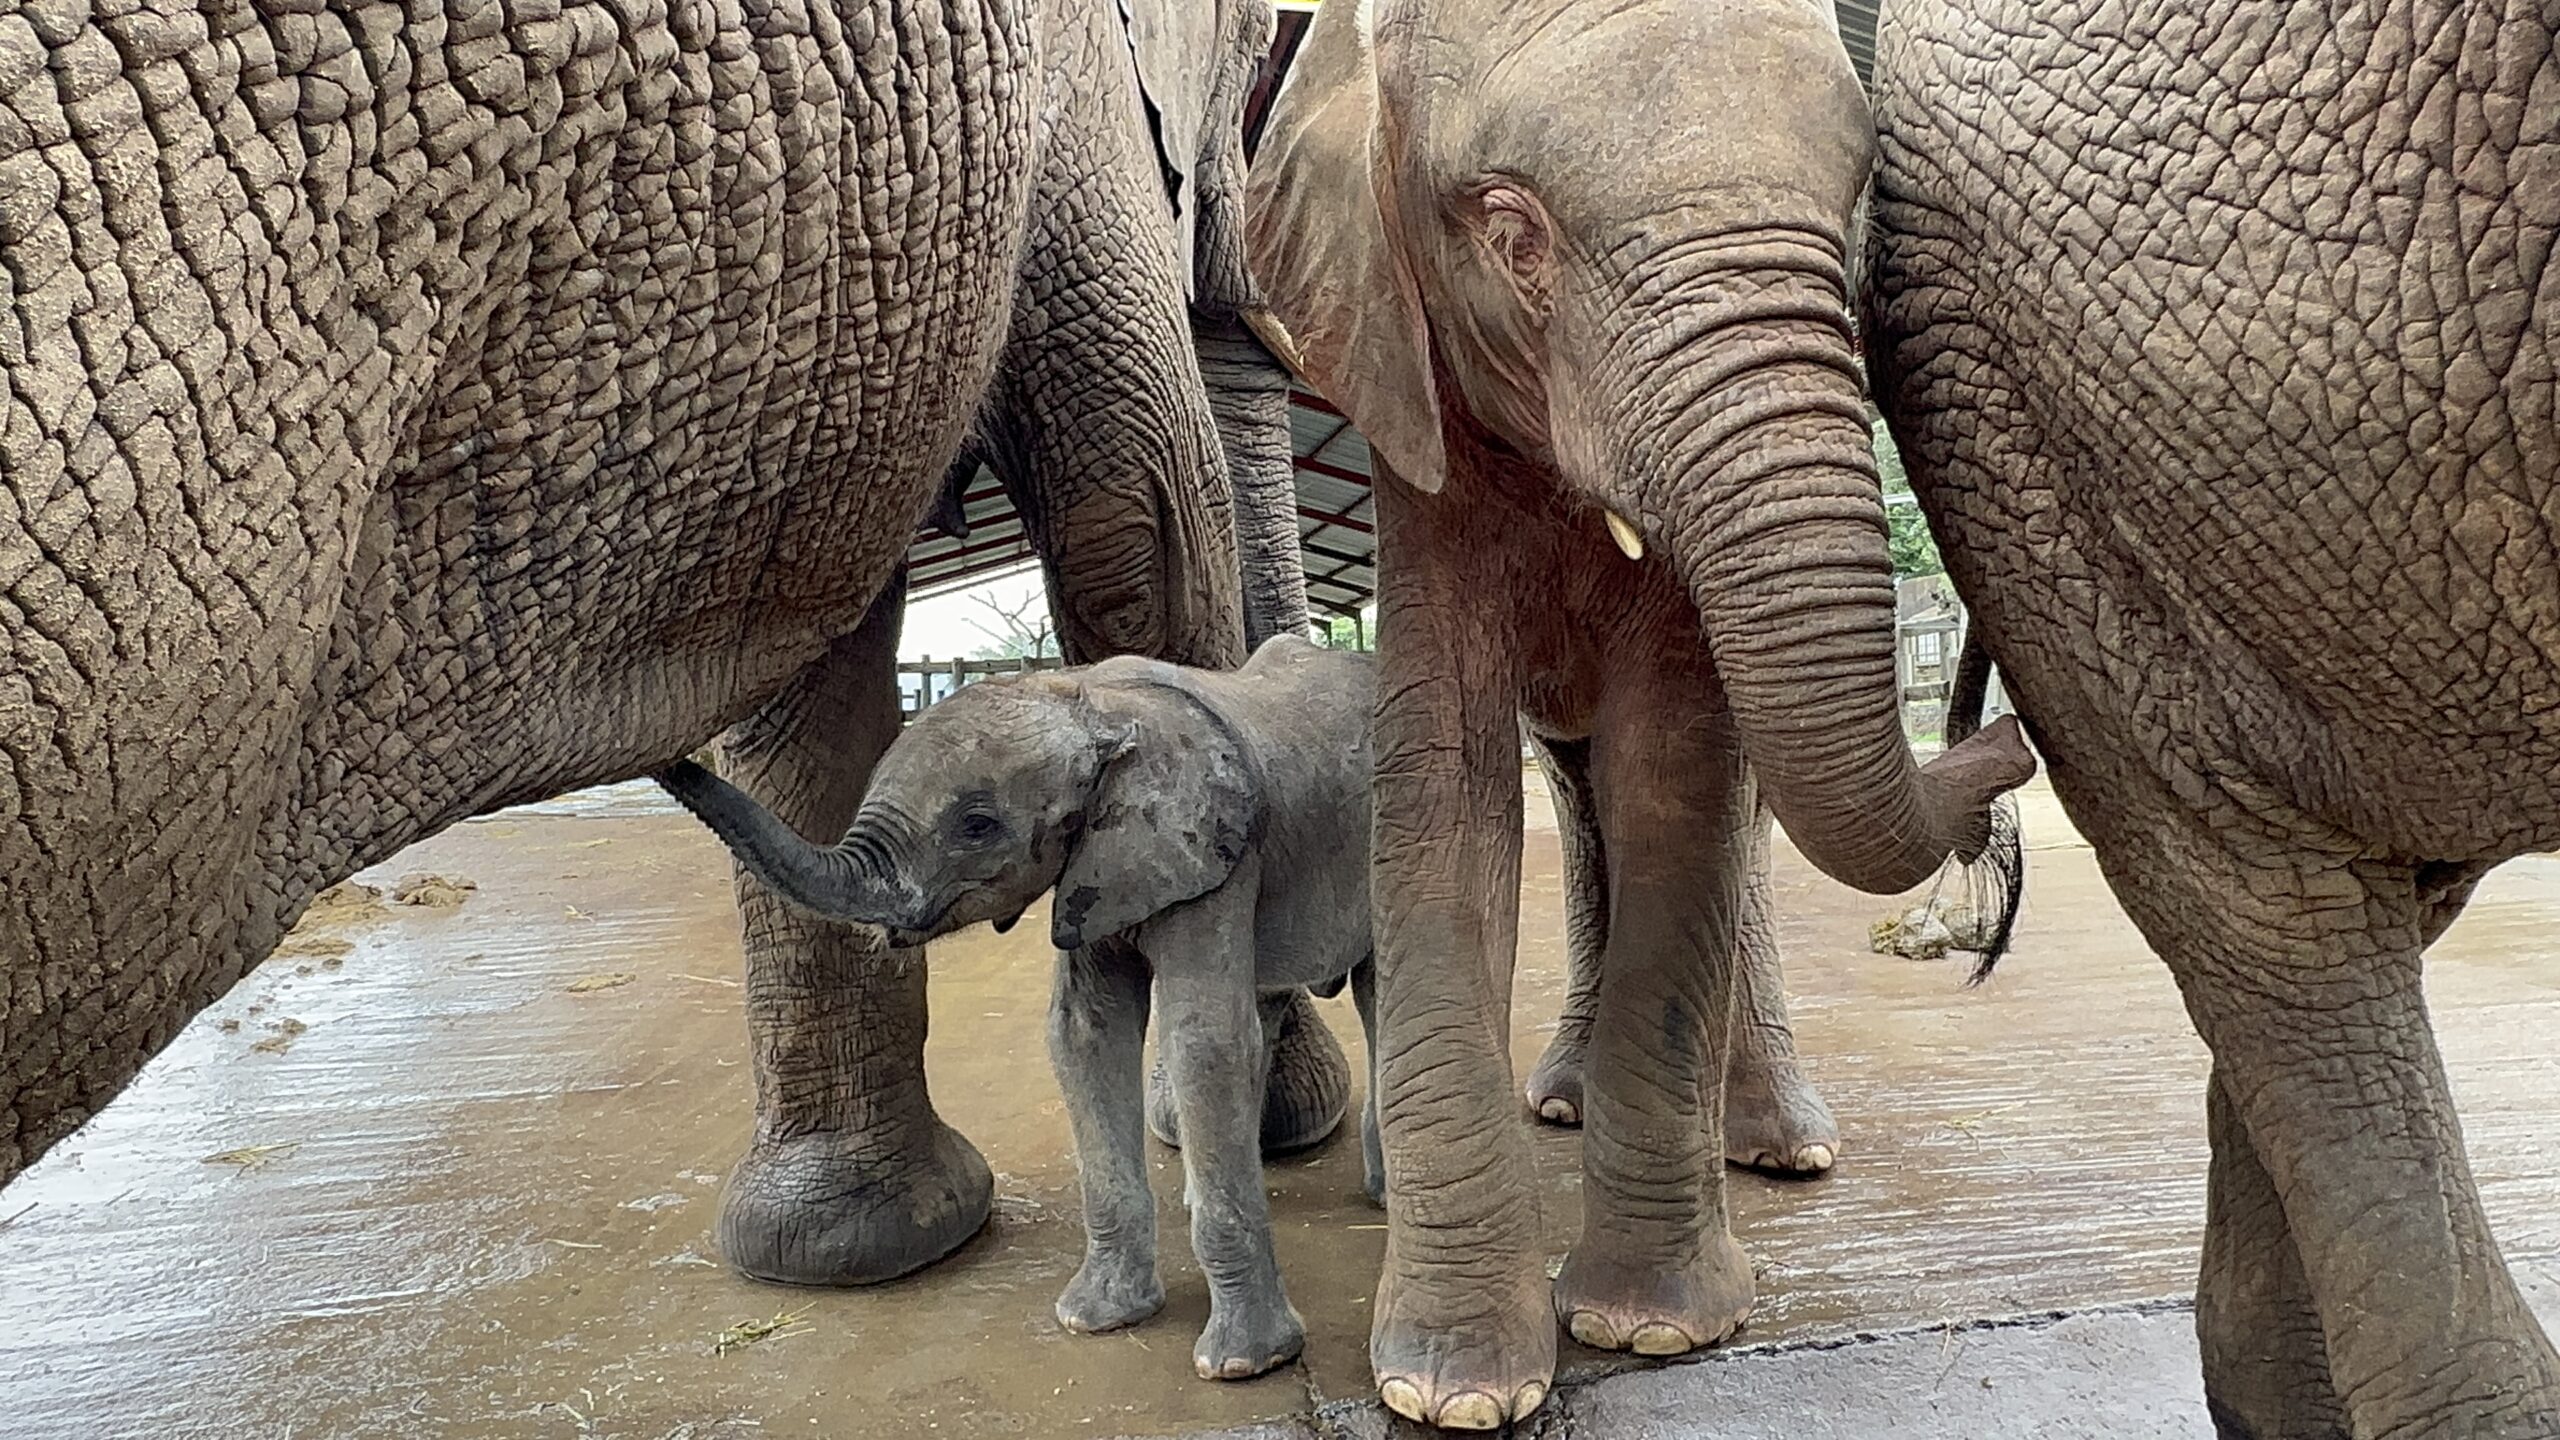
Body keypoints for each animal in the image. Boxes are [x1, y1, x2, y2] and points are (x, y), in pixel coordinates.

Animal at [660, 632, 1382, 1373]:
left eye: (977, 825)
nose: (671, 757)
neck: (1090, 703)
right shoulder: (1105, 868)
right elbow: (1085, 1035)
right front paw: (1092, 1320)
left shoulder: (1215, 861)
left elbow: (1204, 1041)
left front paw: (1241, 1365)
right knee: (1265, 1003)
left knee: (1370, 995)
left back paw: (1382, 1198)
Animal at [1244, 0, 2037, 1414]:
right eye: (1510, 231)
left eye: (1858, 199)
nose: (2003, 735)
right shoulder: (1418, 428)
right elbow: (1446, 789)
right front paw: (1454, 1390)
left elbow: (1678, 780)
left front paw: (1653, 1331)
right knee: (1573, 793)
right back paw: (1559, 1100)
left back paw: (1782, 1148)